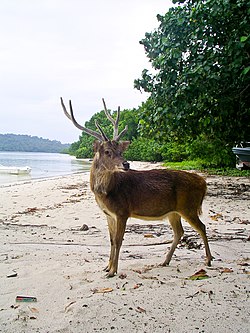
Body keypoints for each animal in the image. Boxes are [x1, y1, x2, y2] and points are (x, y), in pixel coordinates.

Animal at [60, 96, 213, 278]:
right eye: (107, 151)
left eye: (120, 150)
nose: (126, 164)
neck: (106, 193)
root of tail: (203, 183)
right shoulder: (109, 214)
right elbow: (111, 240)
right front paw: (106, 267)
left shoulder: (122, 211)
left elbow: (118, 241)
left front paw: (113, 271)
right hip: (174, 212)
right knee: (179, 232)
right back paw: (165, 260)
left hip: (188, 206)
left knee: (202, 227)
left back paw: (208, 260)